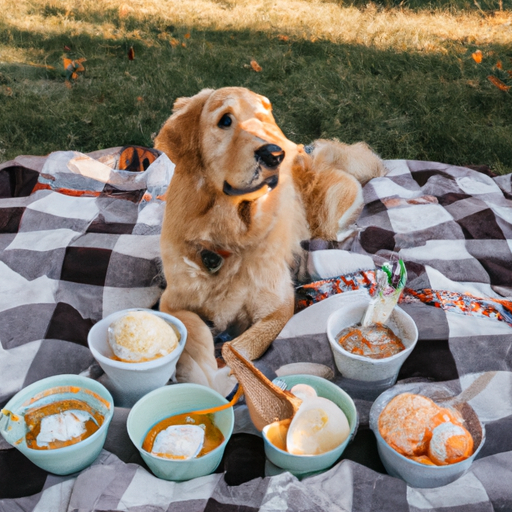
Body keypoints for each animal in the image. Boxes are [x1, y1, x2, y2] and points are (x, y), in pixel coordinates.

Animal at [154, 87, 386, 392]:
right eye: (225, 120)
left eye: (266, 119)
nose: (275, 154)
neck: (230, 234)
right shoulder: (172, 301)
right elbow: (195, 331)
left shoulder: (278, 307)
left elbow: (238, 347)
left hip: (334, 210)